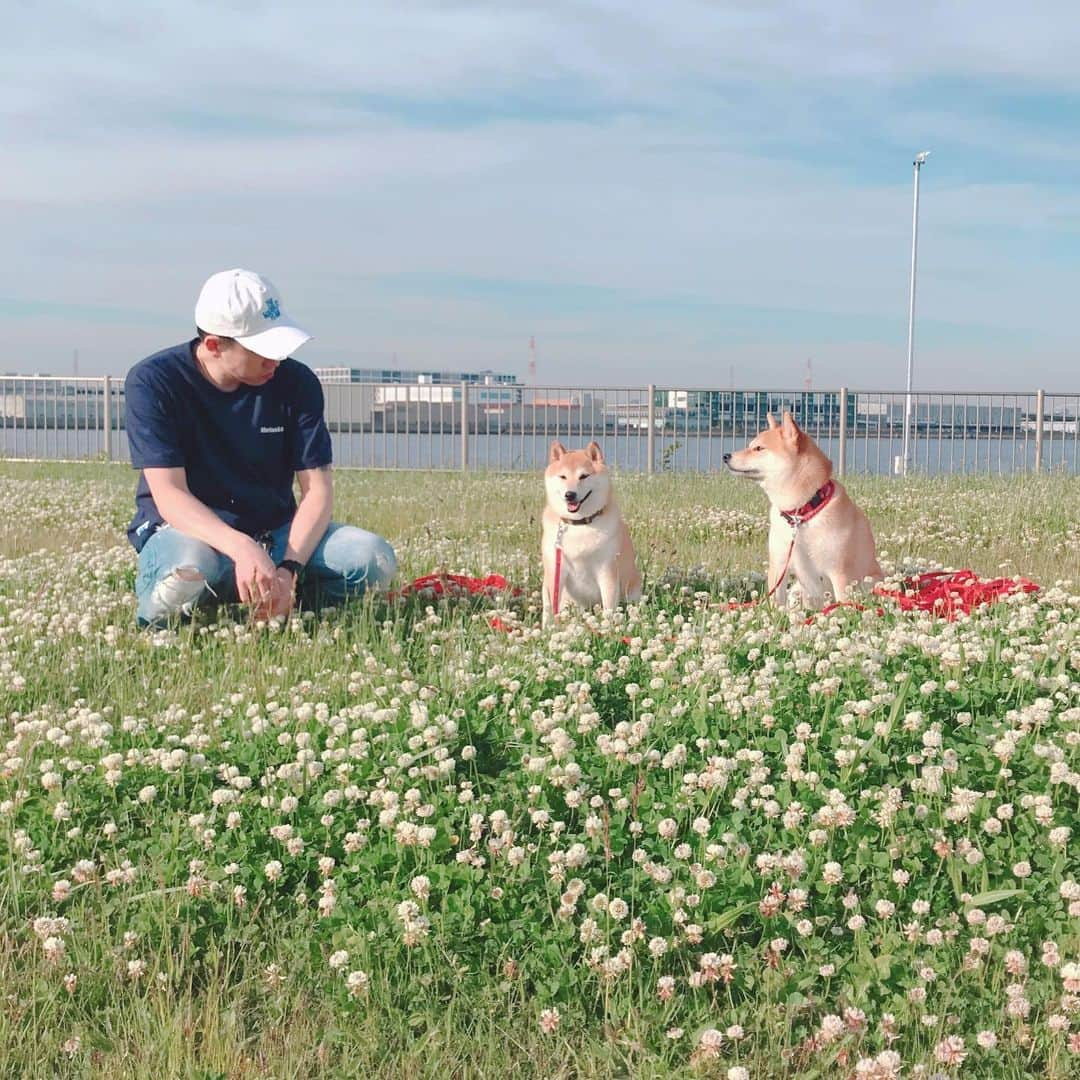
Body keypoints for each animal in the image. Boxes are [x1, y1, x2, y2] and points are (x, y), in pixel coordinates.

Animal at [540, 438, 639, 626]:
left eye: (583, 476)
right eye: (563, 476)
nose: (570, 494)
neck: (579, 524)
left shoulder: (607, 569)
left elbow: (609, 607)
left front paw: (608, 628)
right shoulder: (556, 570)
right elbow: (549, 607)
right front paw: (547, 629)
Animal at [721, 410, 881, 609]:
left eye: (758, 448)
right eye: (751, 446)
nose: (725, 456)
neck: (801, 513)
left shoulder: (840, 572)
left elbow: (843, 605)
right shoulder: (779, 564)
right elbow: (776, 602)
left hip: (871, 582)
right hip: (797, 588)